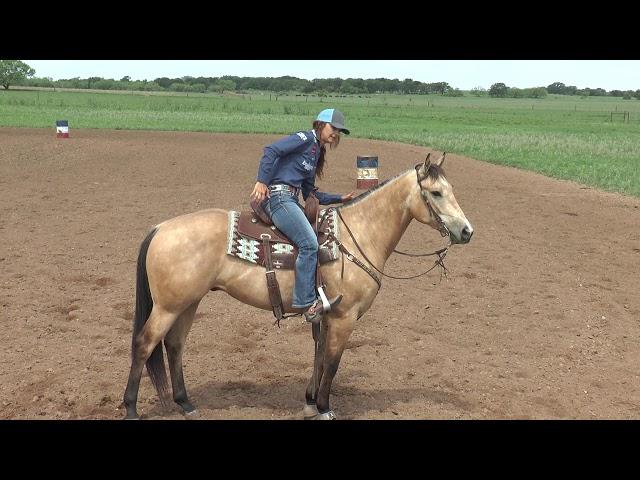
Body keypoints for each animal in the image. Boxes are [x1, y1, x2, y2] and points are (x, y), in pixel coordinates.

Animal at [124, 154, 476, 420]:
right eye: (436, 193)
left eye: (451, 189)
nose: (467, 231)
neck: (357, 236)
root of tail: (160, 228)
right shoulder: (344, 317)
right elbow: (332, 362)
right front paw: (324, 408)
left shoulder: (326, 315)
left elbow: (319, 356)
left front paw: (309, 402)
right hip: (168, 306)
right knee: (144, 344)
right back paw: (130, 409)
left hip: (188, 302)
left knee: (174, 346)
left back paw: (186, 404)